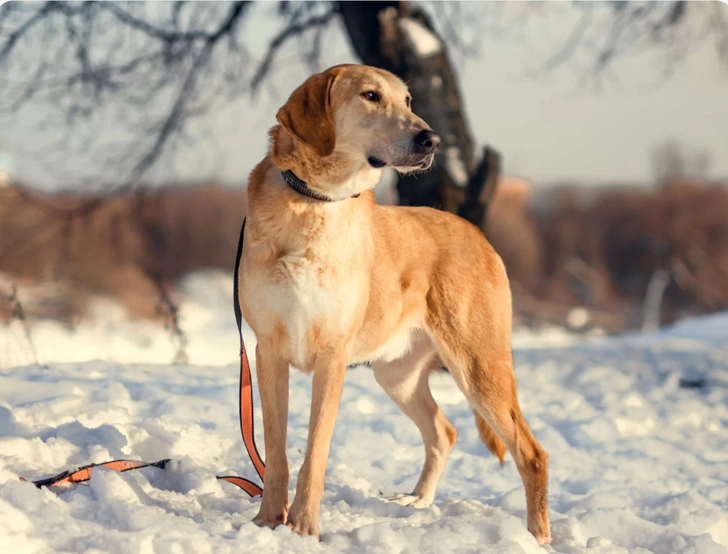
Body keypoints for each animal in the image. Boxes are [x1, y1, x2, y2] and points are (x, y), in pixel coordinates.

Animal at [239, 64, 552, 544]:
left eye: (408, 101)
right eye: (370, 96)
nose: (432, 140)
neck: (314, 201)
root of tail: (476, 232)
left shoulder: (332, 356)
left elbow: (316, 452)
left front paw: (304, 529)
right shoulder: (268, 351)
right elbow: (276, 452)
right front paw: (268, 523)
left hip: (478, 365)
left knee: (532, 454)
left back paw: (537, 538)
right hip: (397, 374)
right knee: (444, 432)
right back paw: (417, 504)